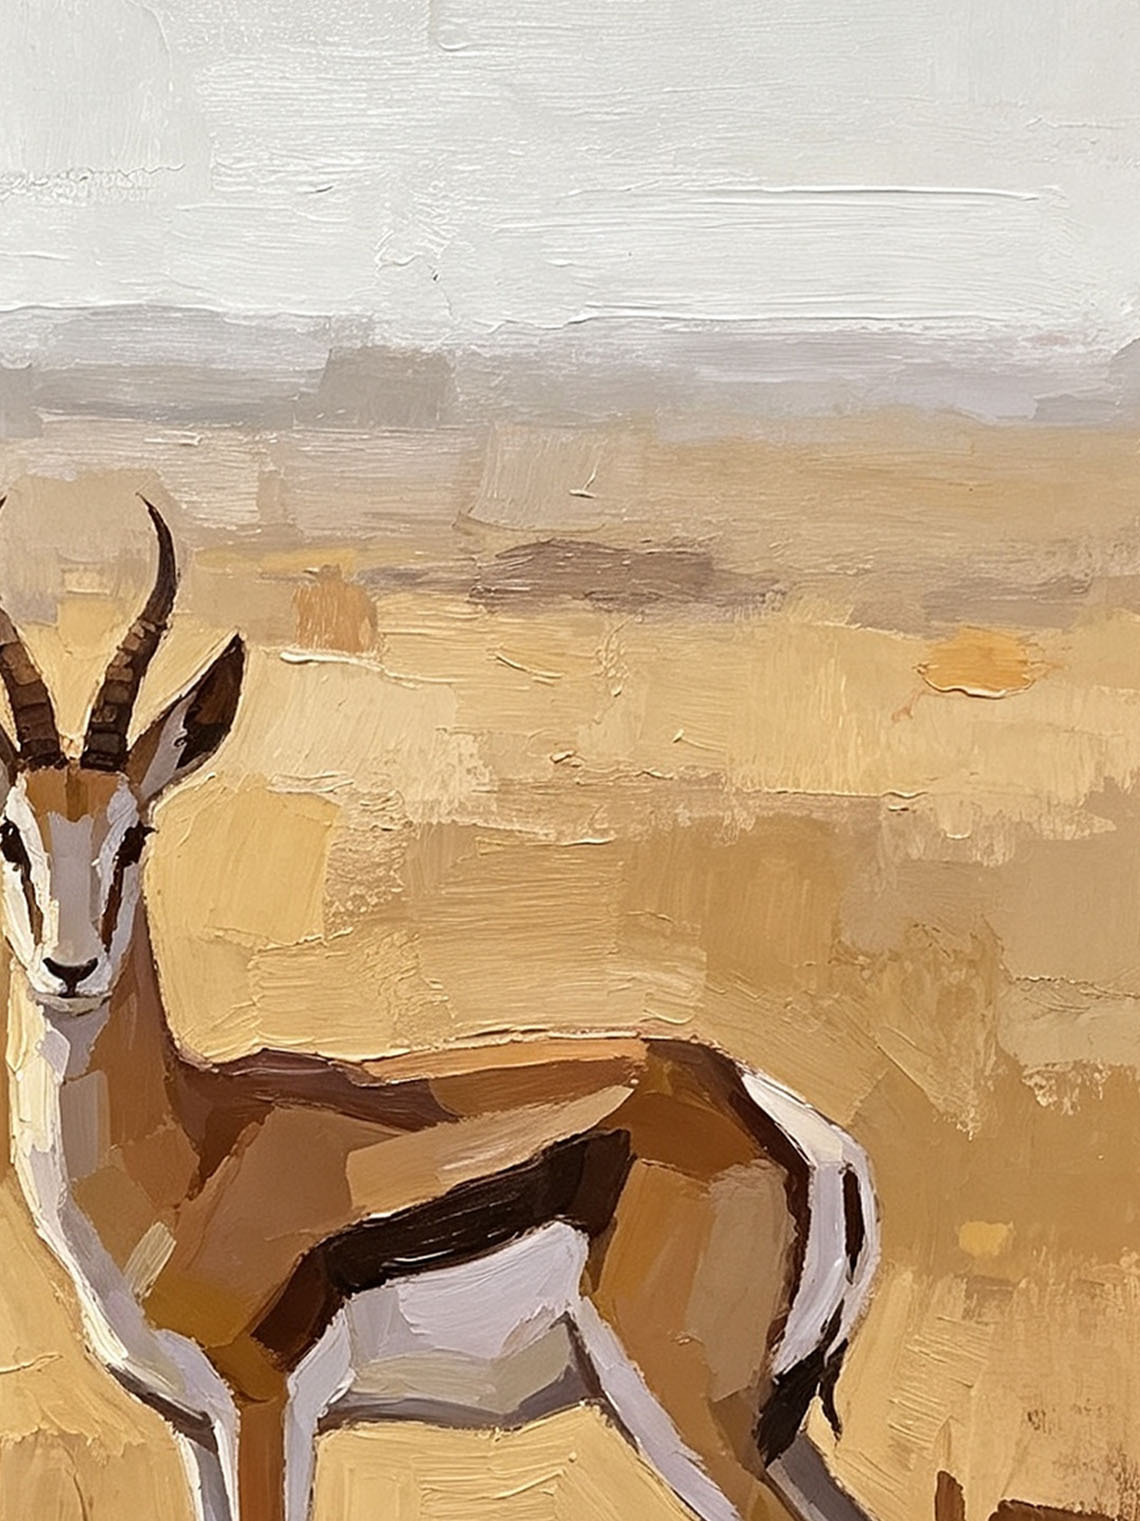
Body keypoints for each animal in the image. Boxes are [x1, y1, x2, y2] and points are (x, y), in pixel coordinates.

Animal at [0, 500, 880, 1521]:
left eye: (135, 830)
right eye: (9, 833)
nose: (71, 968)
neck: (190, 1148)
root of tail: (778, 1113)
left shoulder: (265, 1411)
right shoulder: (189, 1424)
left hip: (684, 1411)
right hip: (765, 1427)